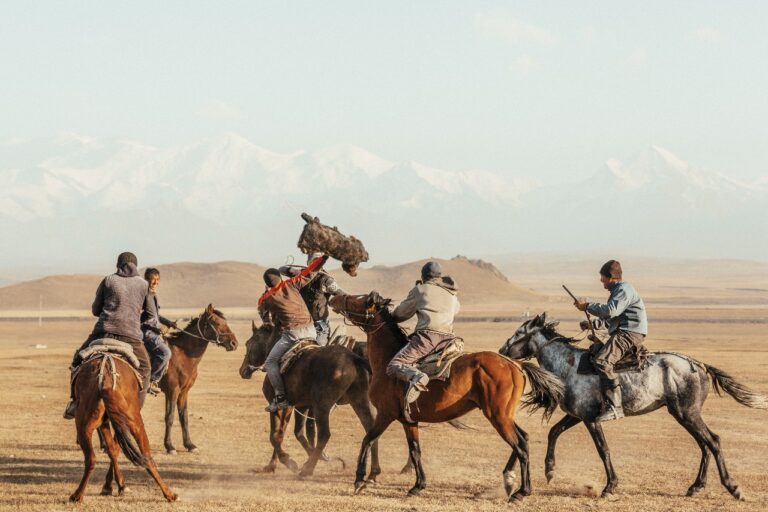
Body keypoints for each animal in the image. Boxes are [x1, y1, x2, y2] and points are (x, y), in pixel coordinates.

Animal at [70, 350, 176, 502]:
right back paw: (169, 494)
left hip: (84, 425)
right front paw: (118, 486)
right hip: (134, 422)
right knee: (146, 456)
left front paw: (114, 486)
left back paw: (77, 495)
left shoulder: (106, 423)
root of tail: (106, 376)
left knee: (91, 458)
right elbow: (115, 449)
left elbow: (112, 450)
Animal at [160, 302, 237, 454]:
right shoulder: (173, 391)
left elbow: (184, 418)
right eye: (217, 322)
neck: (182, 355)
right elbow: (170, 417)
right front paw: (170, 446)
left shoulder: (183, 392)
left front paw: (190, 445)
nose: (234, 343)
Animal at [330, 290, 564, 502]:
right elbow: (415, 451)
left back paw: (521, 492)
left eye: (358, 299)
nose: (335, 297)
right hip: (504, 416)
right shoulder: (409, 420)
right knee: (524, 439)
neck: (387, 359)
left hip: (498, 416)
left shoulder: (385, 414)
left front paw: (360, 480)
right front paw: (418, 486)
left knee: (520, 447)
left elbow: (368, 440)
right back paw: (509, 482)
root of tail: (515, 364)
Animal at [500, 312, 764, 500]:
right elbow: (554, 432)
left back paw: (733, 488)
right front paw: (549, 470)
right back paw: (695, 487)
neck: (569, 366)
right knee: (704, 444)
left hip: (687, 413)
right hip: (683, 414)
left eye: (519, 332)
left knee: (713, 441)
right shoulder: (577, 416)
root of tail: (698, 365)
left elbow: (603, 450)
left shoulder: (591, 419)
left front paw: (610, 487)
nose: (502, 350)